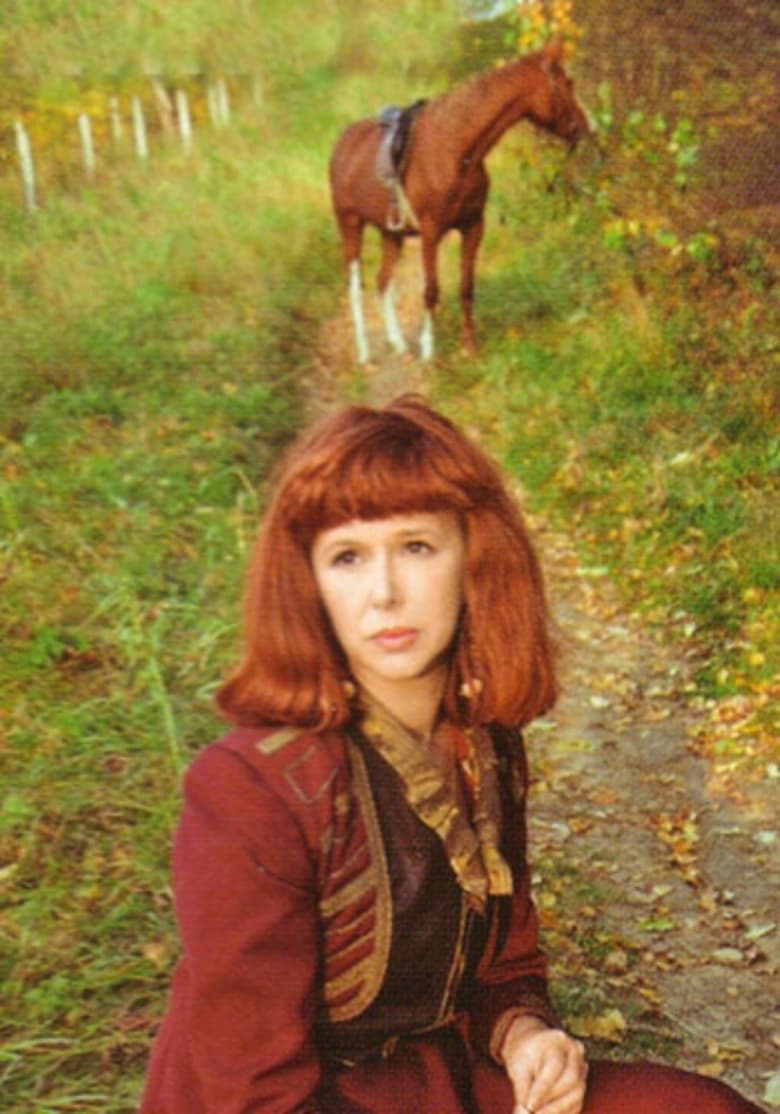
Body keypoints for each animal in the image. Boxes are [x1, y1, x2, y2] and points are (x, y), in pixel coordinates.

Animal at [329, 41, 592, 363]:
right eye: (567, 83)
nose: (588, 127)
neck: (455, 147)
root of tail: (342, 145)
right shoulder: (430, 233)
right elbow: (431, 291)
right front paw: (430, 351)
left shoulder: (473, 227)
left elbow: (466, 288)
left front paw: (471, 347)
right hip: (350, 225)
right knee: (355, 288)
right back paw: (365, 354)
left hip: (391, 233)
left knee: (382, 281)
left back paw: (399, 345)